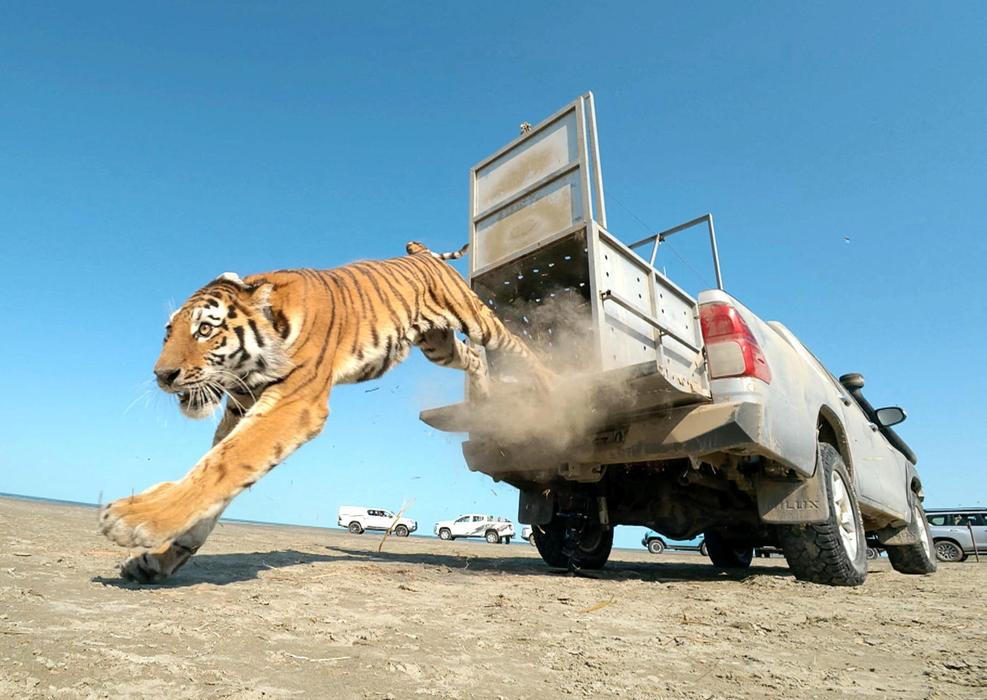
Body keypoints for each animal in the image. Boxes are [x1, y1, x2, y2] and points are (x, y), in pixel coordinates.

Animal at [99, 241, 553, 582]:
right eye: (168, 333)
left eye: (205, 330)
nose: (162, 375)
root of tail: (422, 253)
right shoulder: (240, 409)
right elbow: (216, 472)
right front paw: (158, 559)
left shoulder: (294, 403)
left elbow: (223, 464)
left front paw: (135, 518)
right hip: (437, 343)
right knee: (473, 358)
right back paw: (483, 400)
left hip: (473, 316)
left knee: (513, 345)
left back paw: (548, 386)